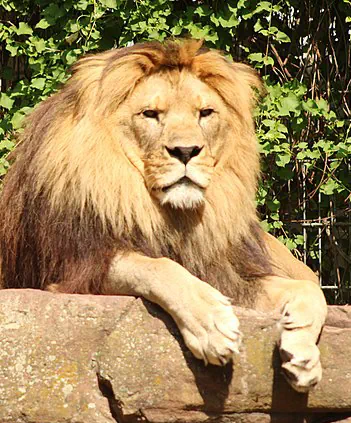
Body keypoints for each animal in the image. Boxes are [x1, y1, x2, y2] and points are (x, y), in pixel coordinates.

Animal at [1, 39, 328, 394]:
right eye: (150, 114)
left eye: (205, 113)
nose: (186, 151)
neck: (171, 215)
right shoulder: (78, 268)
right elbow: (159, 267)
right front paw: (212, 324)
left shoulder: (232, 275)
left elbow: (312, 292)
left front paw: (304, 355)